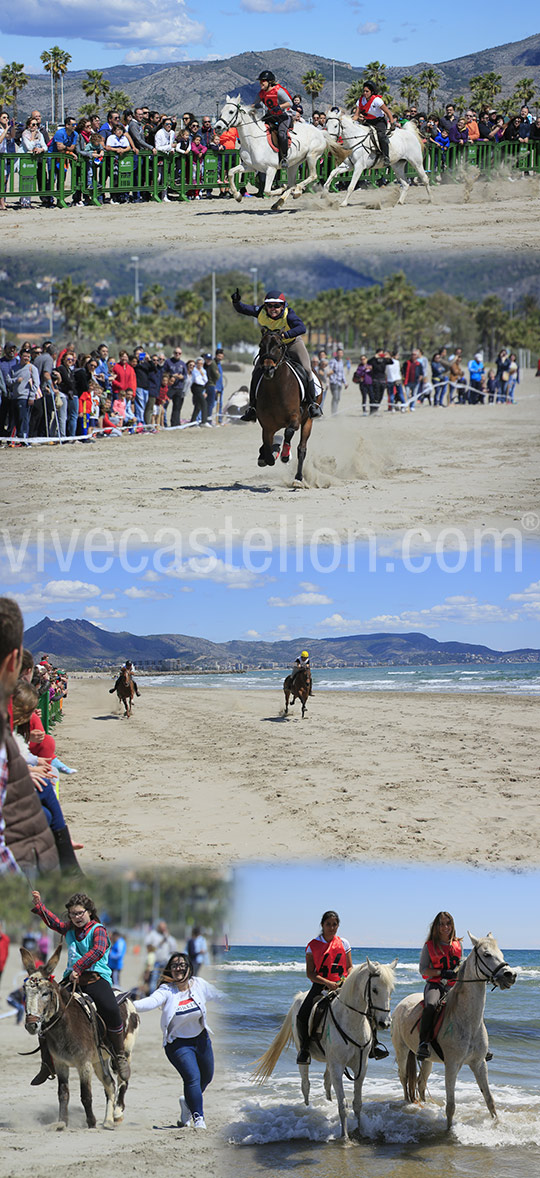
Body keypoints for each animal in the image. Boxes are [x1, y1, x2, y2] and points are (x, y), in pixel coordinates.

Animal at [20, 942, 139, 1126]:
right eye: (25, 992)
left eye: (45, 993)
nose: (31, 1024)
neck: (66, 1026)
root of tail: (126, 998)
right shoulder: (61, 1064)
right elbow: (63, 1094)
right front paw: (62, 1122)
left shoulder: (84, 1065)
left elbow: (86, 1095)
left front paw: (91, 1122)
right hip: (100, 1060)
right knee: (110, 1083)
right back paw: (108, 1121)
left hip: (126, 1051)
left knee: (122, 1079)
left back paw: (117, 1113)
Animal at [252, 956, 396, 1140]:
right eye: (375, 990)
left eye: (391, 991)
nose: (385, 1023)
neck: (352, 1021)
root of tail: (299, 996)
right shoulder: (338, 1066)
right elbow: (343, 1104)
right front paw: (345, 1137)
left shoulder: (361, 1067)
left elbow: (357, 1103)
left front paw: (360, 1131)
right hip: (304, 1055)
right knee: (305, 1084)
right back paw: (307, 1108)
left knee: (326, 1082)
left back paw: (327, 1101)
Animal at [253, 327, 320, 482]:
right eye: (261, 345)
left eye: (279, 346)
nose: (268, 369)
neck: (276, 389)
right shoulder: (267, 425)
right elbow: (267, 446)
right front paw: (266, 455)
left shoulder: (295, 418)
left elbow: (289, 432)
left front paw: (285, 455)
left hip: (308, 421)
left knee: (301, 448)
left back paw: (298, 478)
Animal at [389, 932, 516, 1126]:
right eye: (486, 954)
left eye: (501, 953)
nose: (510, 975)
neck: (468, 1022)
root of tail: (402, 1003)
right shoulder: (452, 1065)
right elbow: (451, 1107)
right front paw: (449, 1131)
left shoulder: (479, 1064)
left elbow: (489, 1100)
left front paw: (496, 1124)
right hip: (402, 1051)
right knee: (404, 1078)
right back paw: (406, 1105)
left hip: (427, 1060)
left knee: (420, 1082)